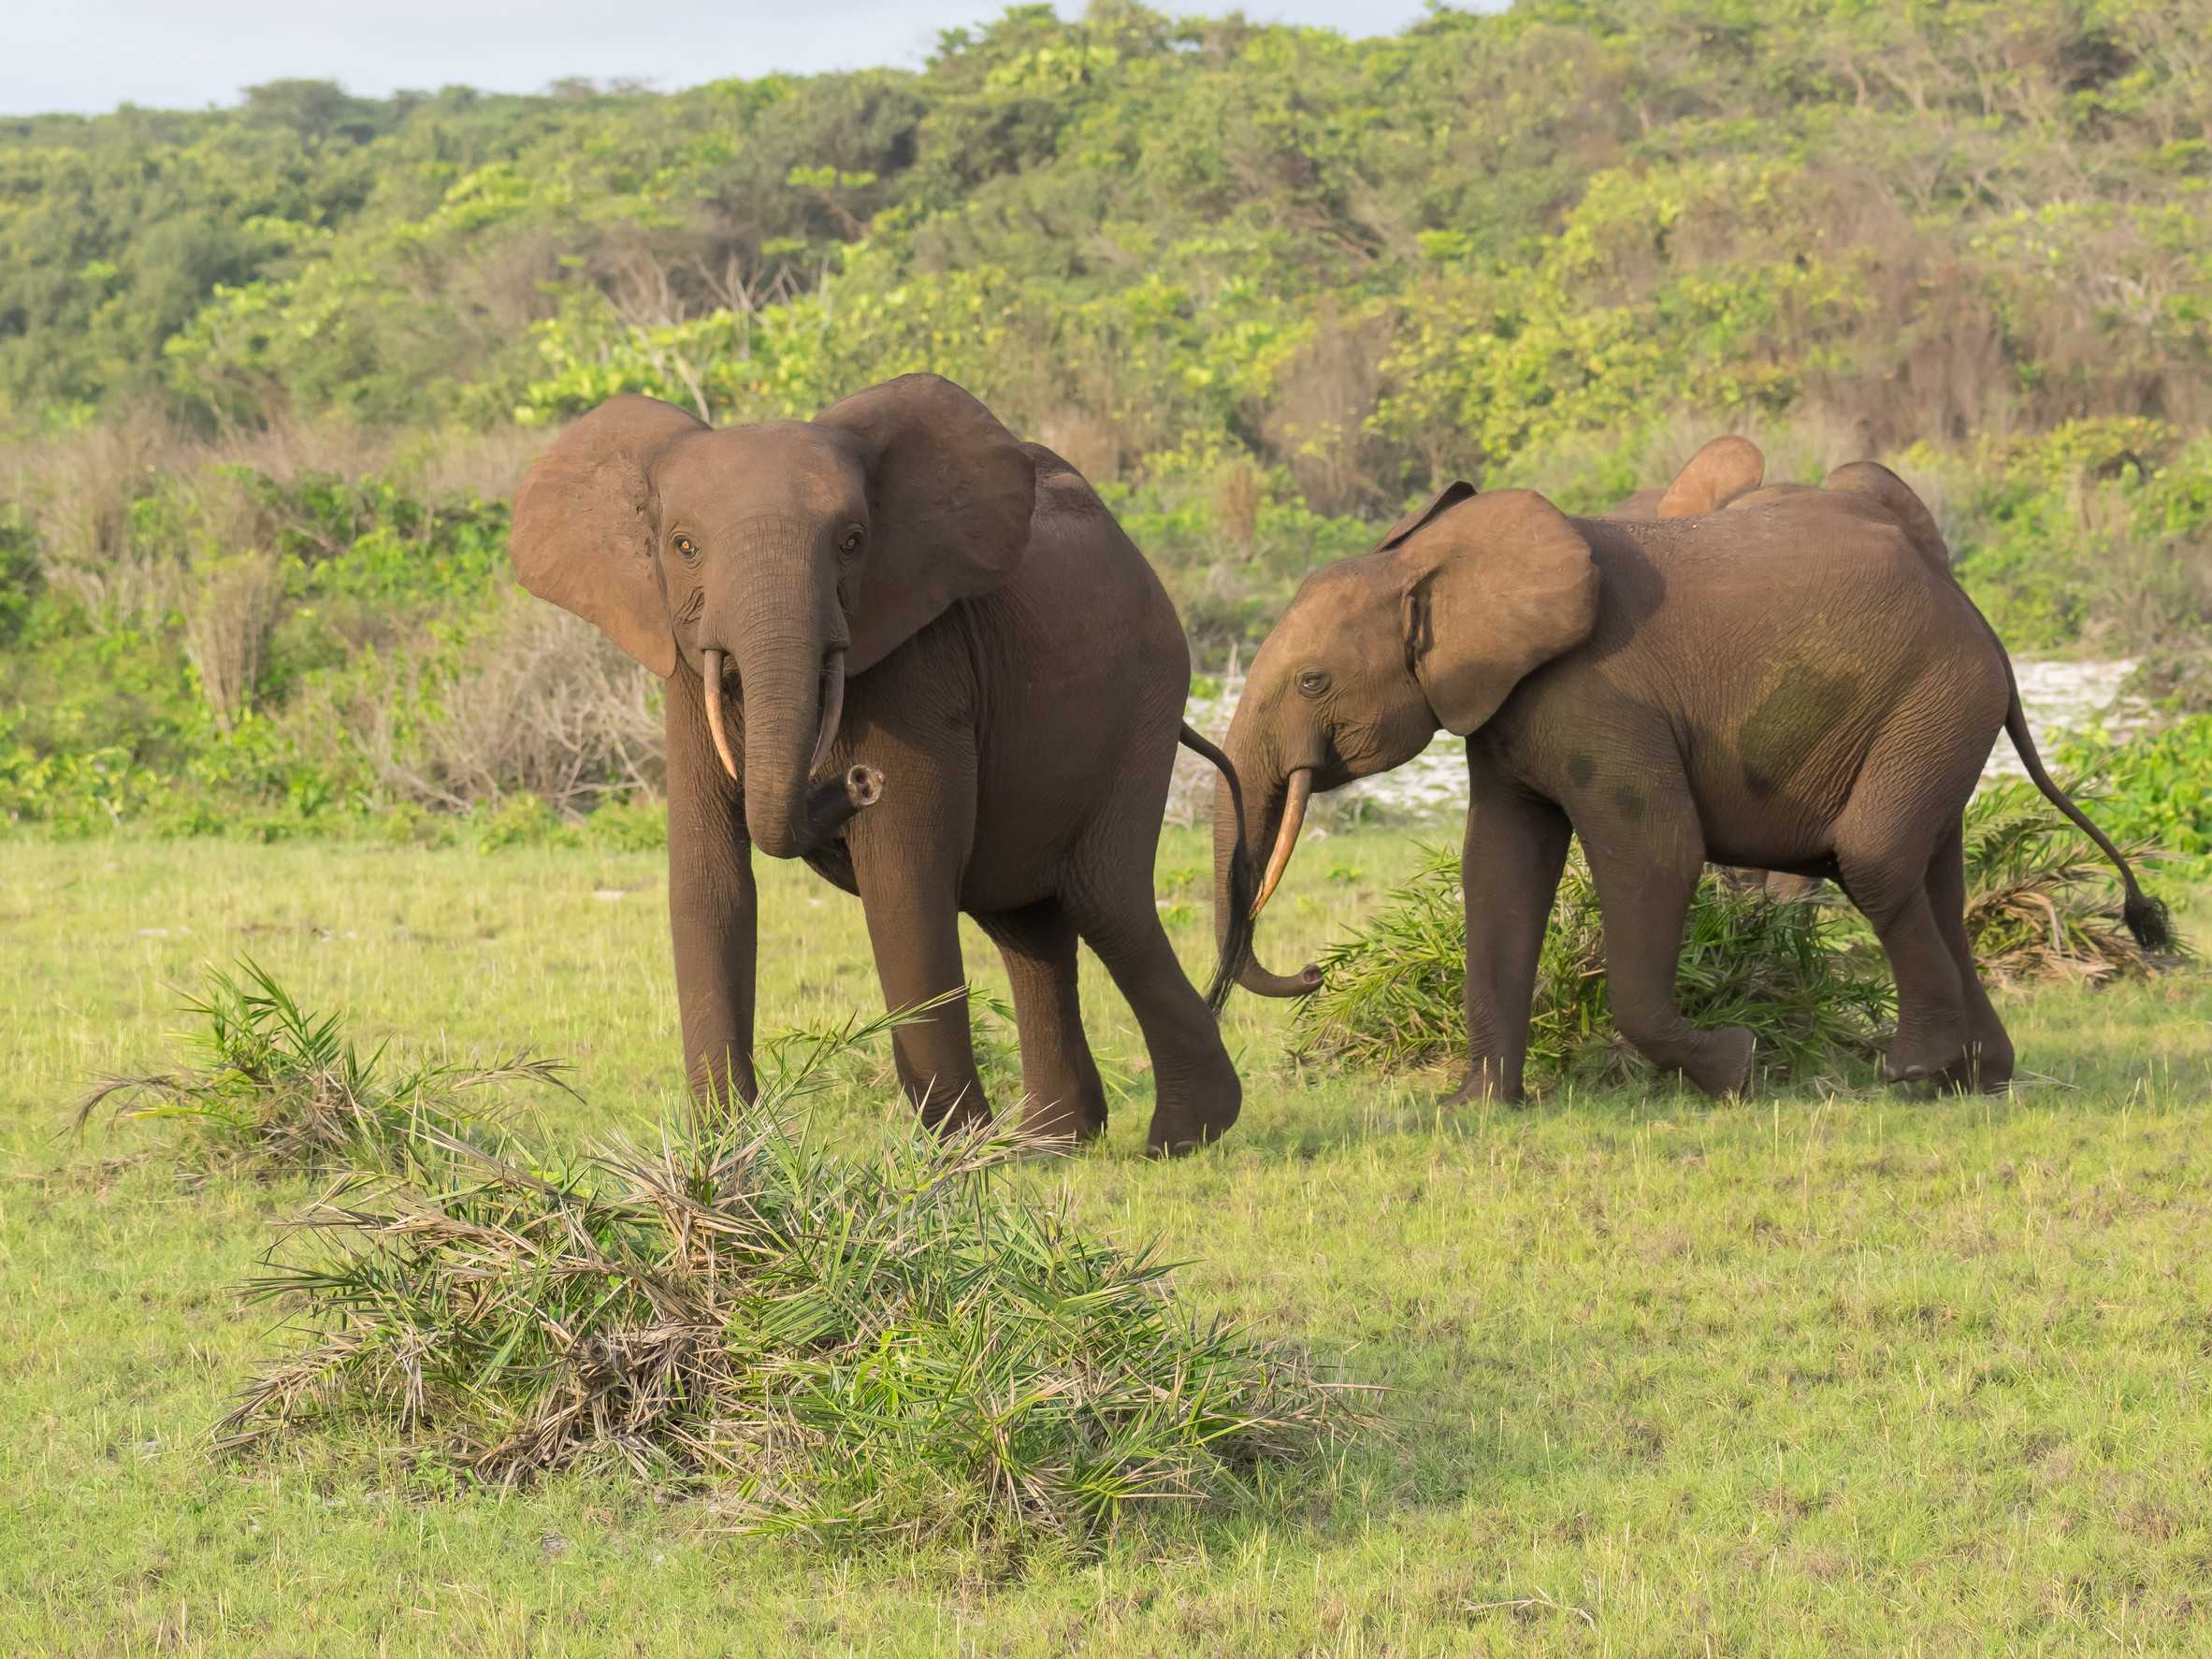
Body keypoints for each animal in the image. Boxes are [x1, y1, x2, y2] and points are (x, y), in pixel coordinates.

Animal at [510, 373, 1255, 1155]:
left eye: (851, 543)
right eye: (682, 546)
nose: (855, 781)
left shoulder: (920, 665)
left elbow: (903, 877)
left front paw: (959, 1156)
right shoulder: (684, 672)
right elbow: (708, 882)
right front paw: (725, 1154)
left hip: (1144, 697)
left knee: (1103, 899)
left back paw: (1180, 1136)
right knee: (1026, 921)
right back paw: (1051, 1143)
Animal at [1211, 467, 2169, 1101]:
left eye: (1311, 683)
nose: (1311, 973)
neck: (1427, 564)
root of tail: (1976, 614)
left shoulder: (1599, 696)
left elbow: (1654, 852)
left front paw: (1736, 1066)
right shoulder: (1507, 706)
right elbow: (1498, 870)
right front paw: (1476, 1108)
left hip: (1936, 696)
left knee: (1875, 859)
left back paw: (1911, 1072)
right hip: (1938, 711)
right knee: (1936, 874)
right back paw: (1978, 1077)